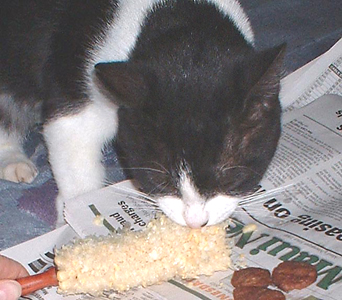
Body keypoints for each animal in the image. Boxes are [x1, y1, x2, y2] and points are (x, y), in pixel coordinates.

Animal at [0, 0, 284, 227]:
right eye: (160, 179)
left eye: (230, 178)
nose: (195, 222)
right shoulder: (74, 82)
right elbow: (73, 148)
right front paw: (73, 223)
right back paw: (12, 159)